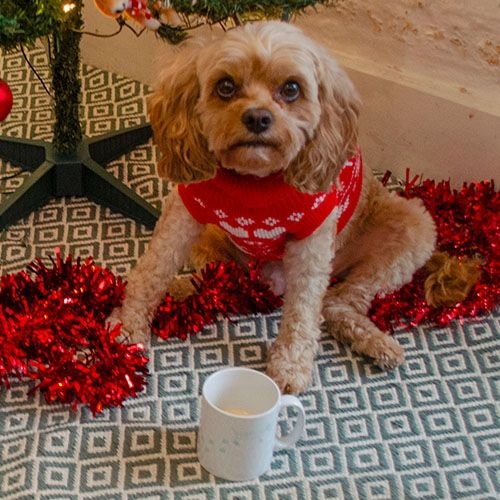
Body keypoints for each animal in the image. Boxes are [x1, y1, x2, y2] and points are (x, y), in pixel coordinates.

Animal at [110, 20, 438, 394]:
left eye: (291, 88)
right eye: (225, 86)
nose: (257, 118)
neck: (255, 182)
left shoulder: (312, 239)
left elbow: (303, 308)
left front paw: (291, 364)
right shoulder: (184, 212)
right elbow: (154, 270)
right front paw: (129, 324)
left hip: (413, 228)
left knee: (335, 303)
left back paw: (375, 342)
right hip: (212, 241)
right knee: (223, 281)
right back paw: (186, 289)